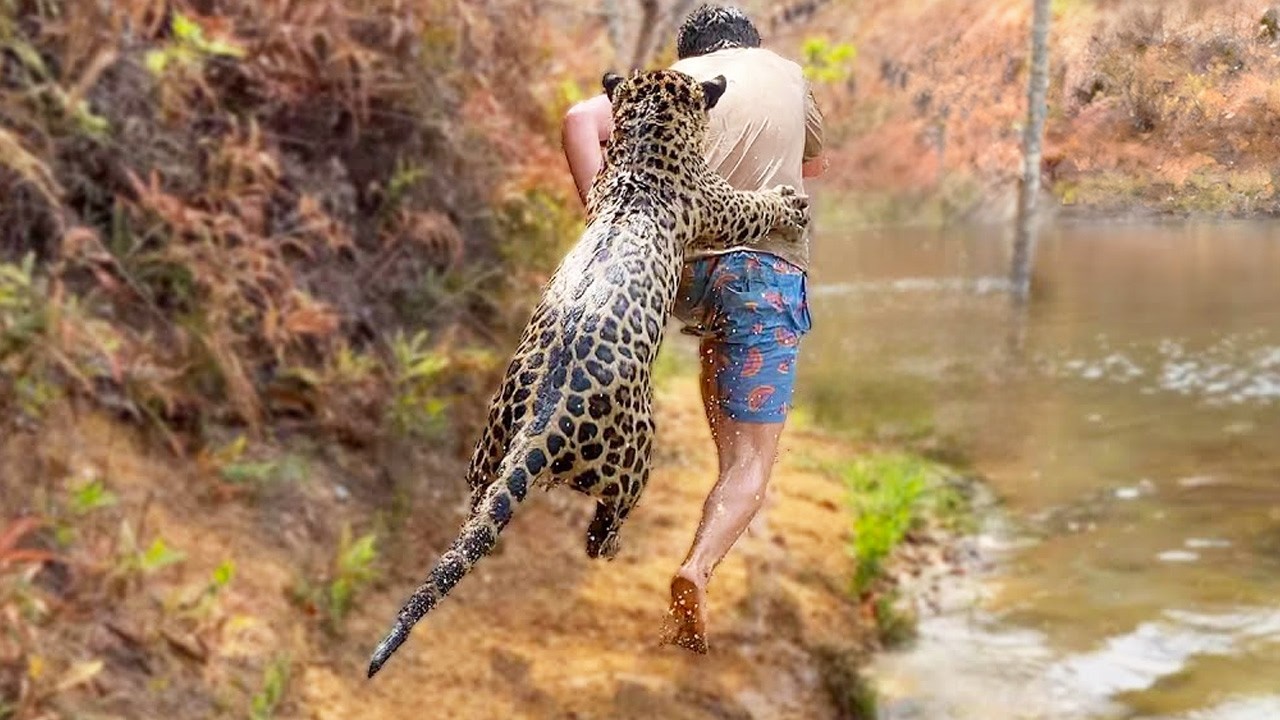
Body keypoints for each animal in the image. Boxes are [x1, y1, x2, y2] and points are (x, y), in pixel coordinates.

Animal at [366, 67, 811, 678]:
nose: (719, 76)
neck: (643, 150)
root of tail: (542, 427)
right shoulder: (717, 205)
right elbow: (756, 205)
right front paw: (788, 202)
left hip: (489, 444)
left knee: (480, 503)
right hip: (638, 453)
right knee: (608, 521)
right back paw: (615, 547)